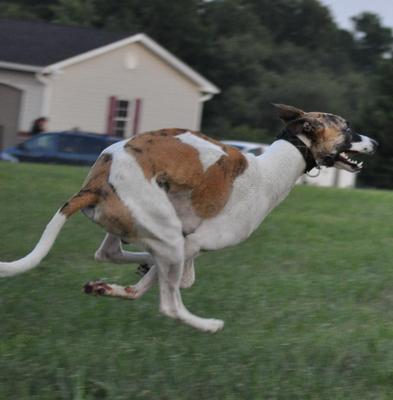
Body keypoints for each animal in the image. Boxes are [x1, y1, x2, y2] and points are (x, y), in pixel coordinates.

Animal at [0, 104, 376, 332]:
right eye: (347, 128)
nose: (375, 141)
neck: (271, 169)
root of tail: (94, 185)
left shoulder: (187, 243)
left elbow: (169, 278)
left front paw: (118, 282)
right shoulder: (195, 242)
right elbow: (174, 282)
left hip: (143, 223)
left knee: (110, 252)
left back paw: (125, 273)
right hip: (164, 229)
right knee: (169, 303)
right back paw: (206, 323)